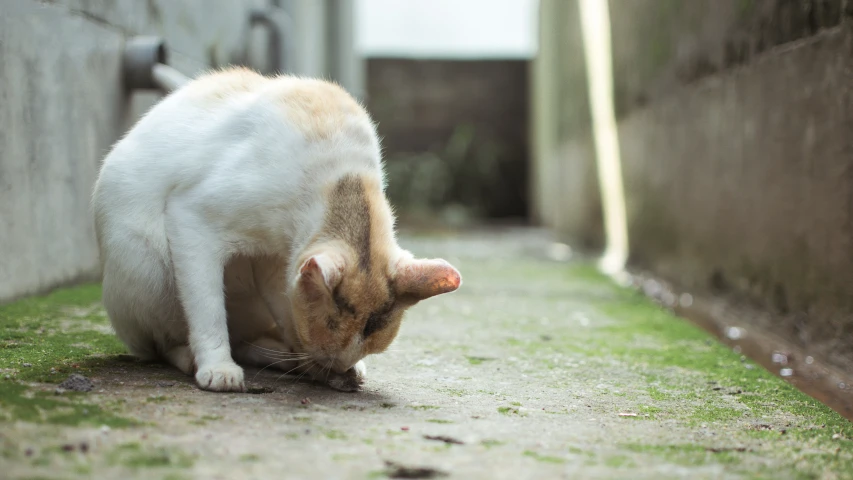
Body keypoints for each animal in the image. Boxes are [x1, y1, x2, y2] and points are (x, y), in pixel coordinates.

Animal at [91, 65, 460, 392]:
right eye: (324, 340)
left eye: (369, 347)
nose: (336, 367)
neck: (342, 176)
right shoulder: (192, 217)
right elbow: (208, 308)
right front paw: (219, 367)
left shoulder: (277, 262)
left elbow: (285, 308)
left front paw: (315, 364)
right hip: (146, 265)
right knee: (157, 345)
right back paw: (192, 358)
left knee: (243, 341)